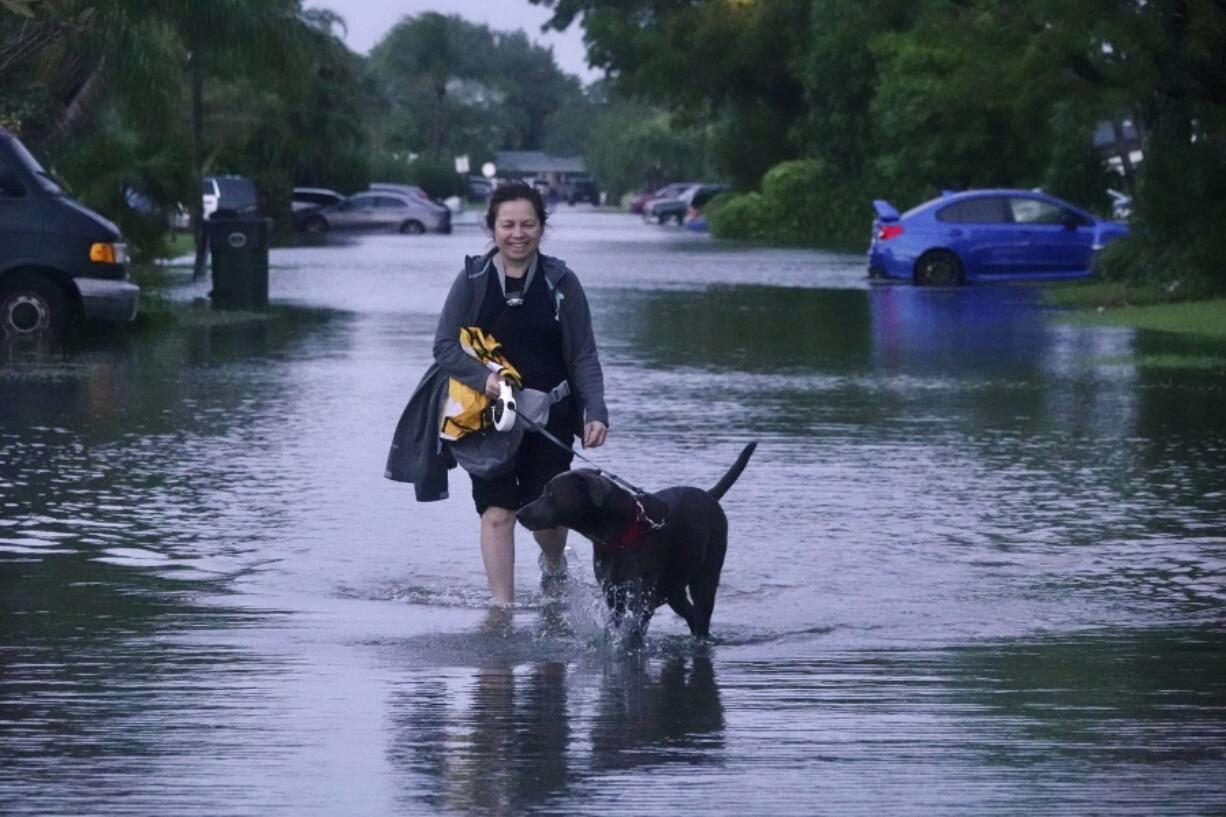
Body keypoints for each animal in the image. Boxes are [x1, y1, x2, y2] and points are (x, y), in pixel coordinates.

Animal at [512, 439, 750, 637]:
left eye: (550, 494)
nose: (519, 513)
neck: (617, 533)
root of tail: (710, 495)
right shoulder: (612, 593)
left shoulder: (639, 596)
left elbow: (634, 630)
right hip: (674, 587)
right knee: (690, 612)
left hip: (707, 574)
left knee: (701, 613)